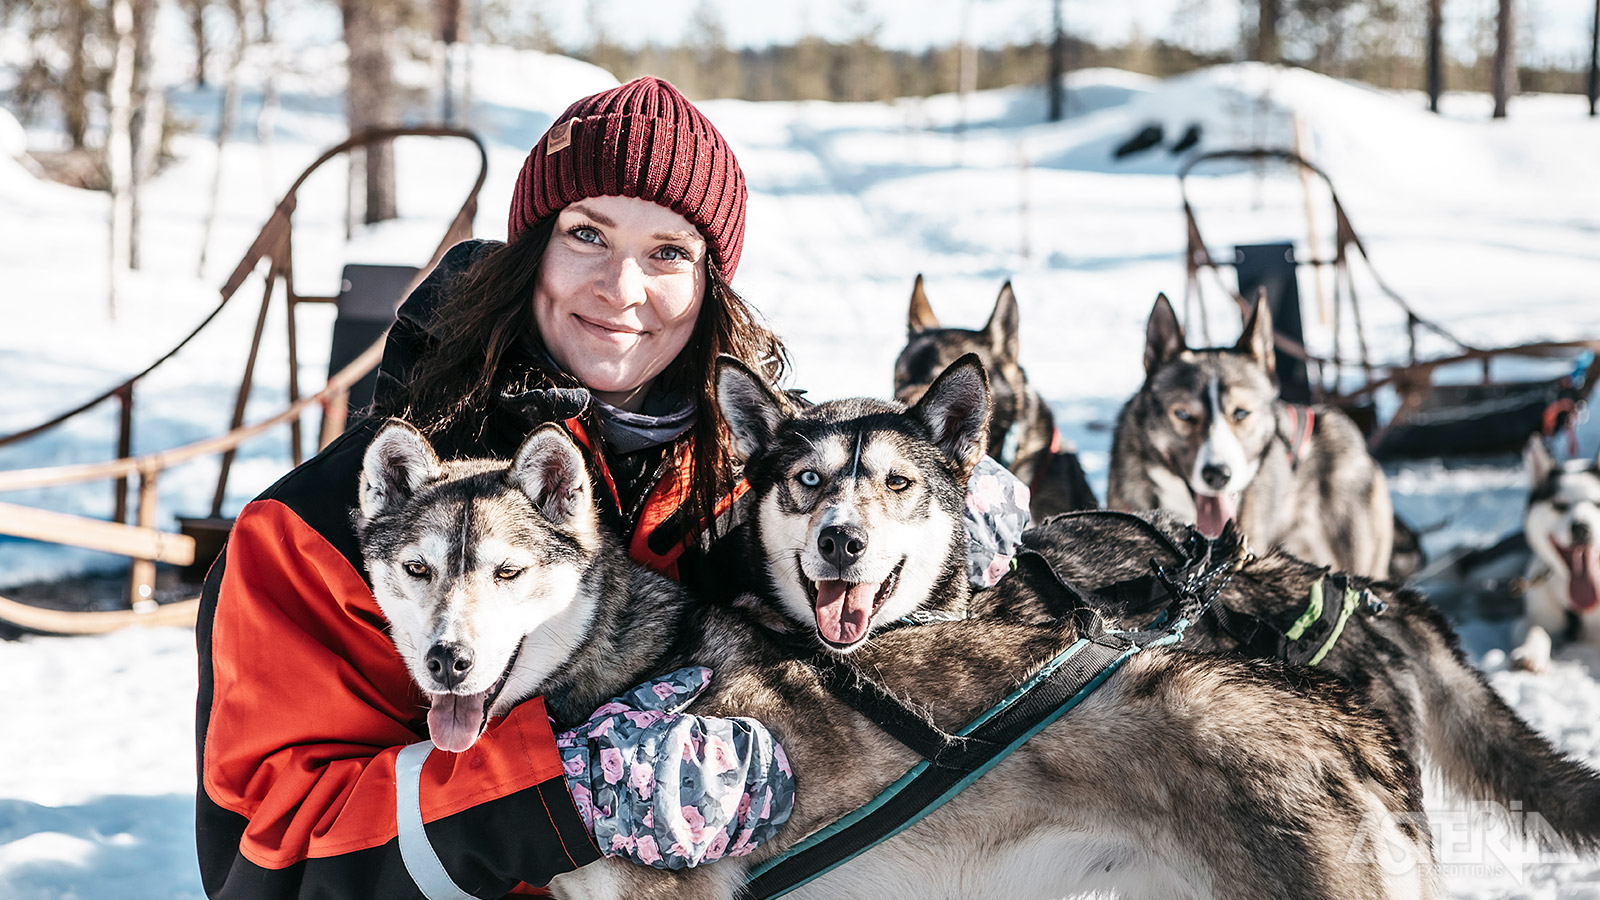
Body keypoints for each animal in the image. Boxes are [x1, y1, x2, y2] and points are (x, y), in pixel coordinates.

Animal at [1510, 432, 1600, 669]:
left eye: (1597, 504)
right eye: (1559, 505)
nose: (1581, 528)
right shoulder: (1530, 617)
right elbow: (1536, 629)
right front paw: (1530, 652)